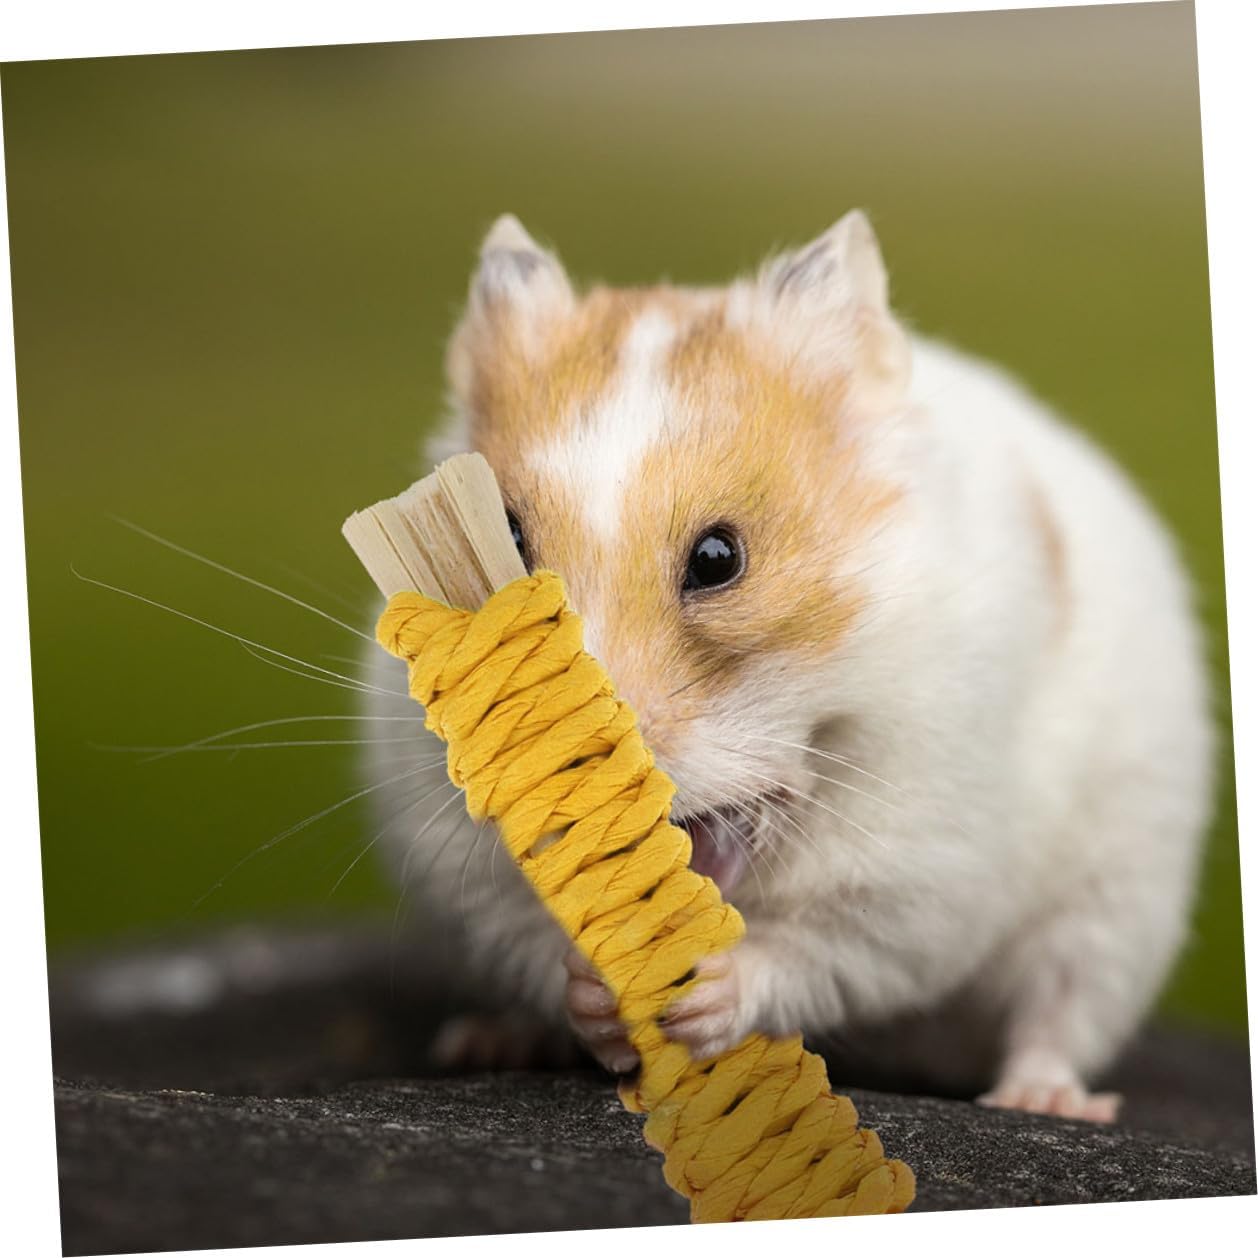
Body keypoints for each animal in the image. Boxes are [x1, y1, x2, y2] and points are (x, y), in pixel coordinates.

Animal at [362, 212, 1214, 1119]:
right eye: (509, 542)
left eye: (718, 558)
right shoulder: (458, 860)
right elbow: (536, 938)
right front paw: (596, 995)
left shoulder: (921, 872)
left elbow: (819, 950)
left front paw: (708, 990)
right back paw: (488, 1041)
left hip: (1118, 902)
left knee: (1061, 1010)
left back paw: (1041, 1100)